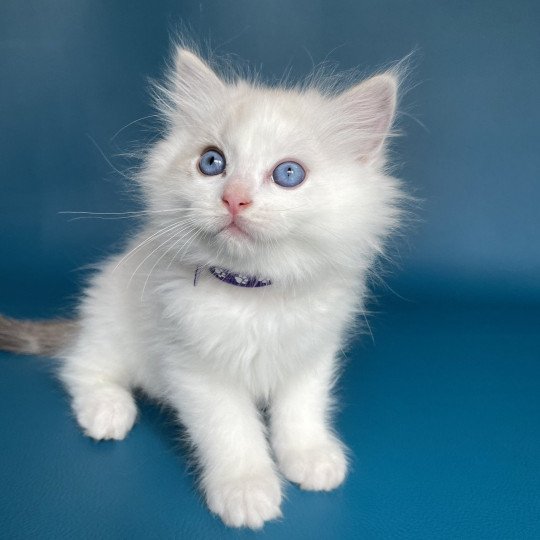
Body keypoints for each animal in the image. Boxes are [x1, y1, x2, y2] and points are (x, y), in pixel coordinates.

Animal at [0, 48, 404, 528]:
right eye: (212, 163)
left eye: (288, 173)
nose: (233, 198)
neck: (253, 293)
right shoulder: (196, 368)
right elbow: (231, 430)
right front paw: (246, 490)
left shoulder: (310, 355)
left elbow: (301, 410)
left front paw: (310, 457)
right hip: (113, 324)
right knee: (81, 366)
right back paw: (108, 411)